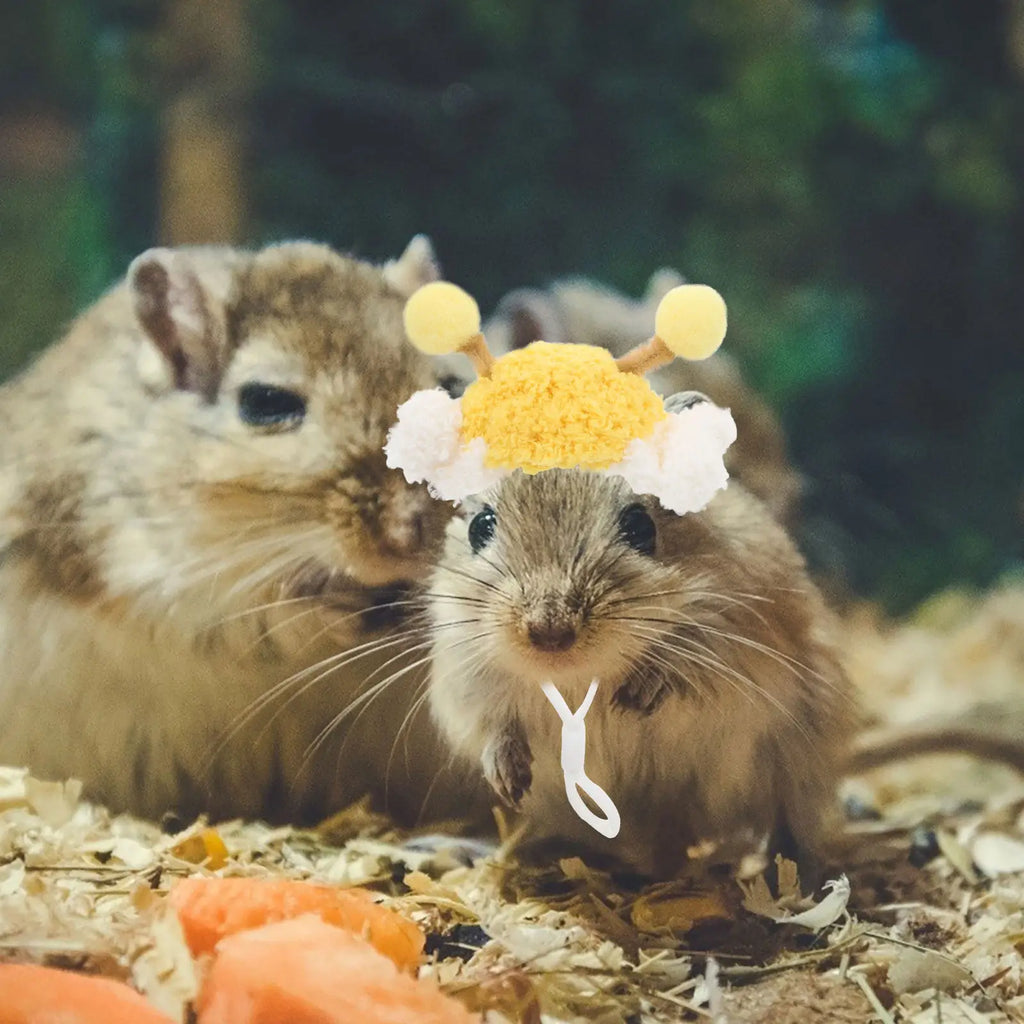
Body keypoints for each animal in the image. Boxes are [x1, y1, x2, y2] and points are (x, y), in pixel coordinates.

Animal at [0, 236, 487, 826]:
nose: (414, 537)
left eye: (452, 387)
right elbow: (265, 617)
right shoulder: (161, 579)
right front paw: (341, 606)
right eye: (266, 403)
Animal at [426, 461, 854, 879]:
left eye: (640, 526)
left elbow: (684, 662)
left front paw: (636, 696)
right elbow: (494, 727)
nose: (550, 632)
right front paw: (508, 781)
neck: (576, 676)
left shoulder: (730, 633)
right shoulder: (466, 676)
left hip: (798, 761)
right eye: (480, 526)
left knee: (782, 828)